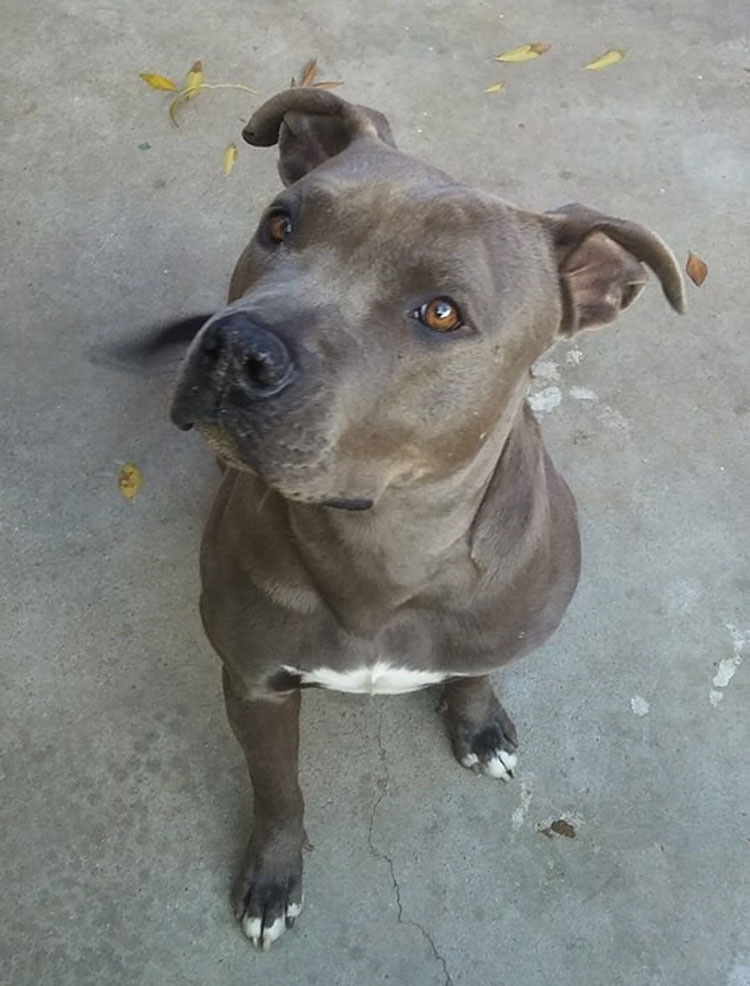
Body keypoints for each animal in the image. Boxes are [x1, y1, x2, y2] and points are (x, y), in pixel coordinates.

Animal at [160, 90, 688, 944]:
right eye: (279, 225)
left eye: (441, 313)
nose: (237, 346)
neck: (383, 545)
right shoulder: (255, 685)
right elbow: (279, 794)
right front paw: (273, 878)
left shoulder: (498, 629)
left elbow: (476, 671)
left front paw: (478, 724)